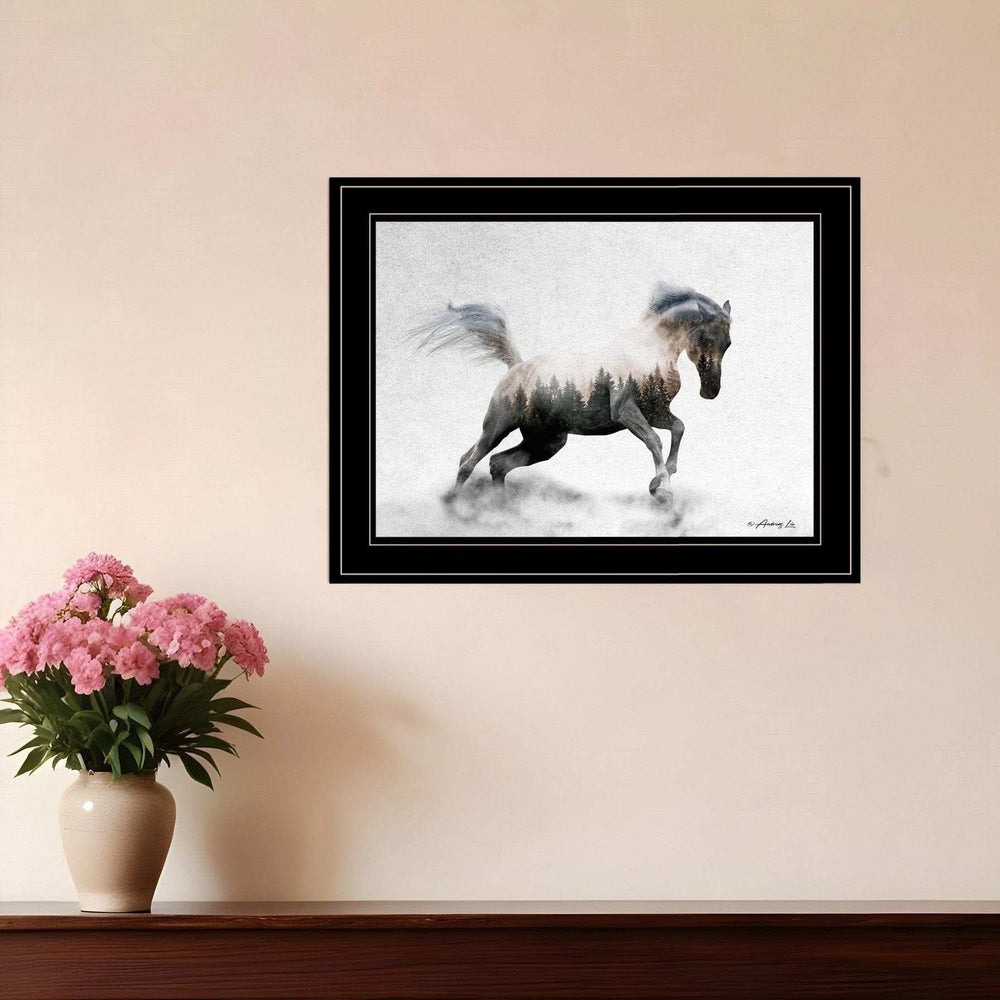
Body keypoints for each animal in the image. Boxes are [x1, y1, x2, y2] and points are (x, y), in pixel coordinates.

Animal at [411, 283, 732, 503]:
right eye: (707, 337)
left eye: (728, 343)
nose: (710, 391)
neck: (647, 351)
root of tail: (516, 366)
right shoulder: (626, 411)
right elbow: (655, 440)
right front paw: (662, 488)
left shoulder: (656, 412)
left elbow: (678, 428)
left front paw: (661, 480)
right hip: (498, 427)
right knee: (468, 462)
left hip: (546, 442)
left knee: (497, 465)